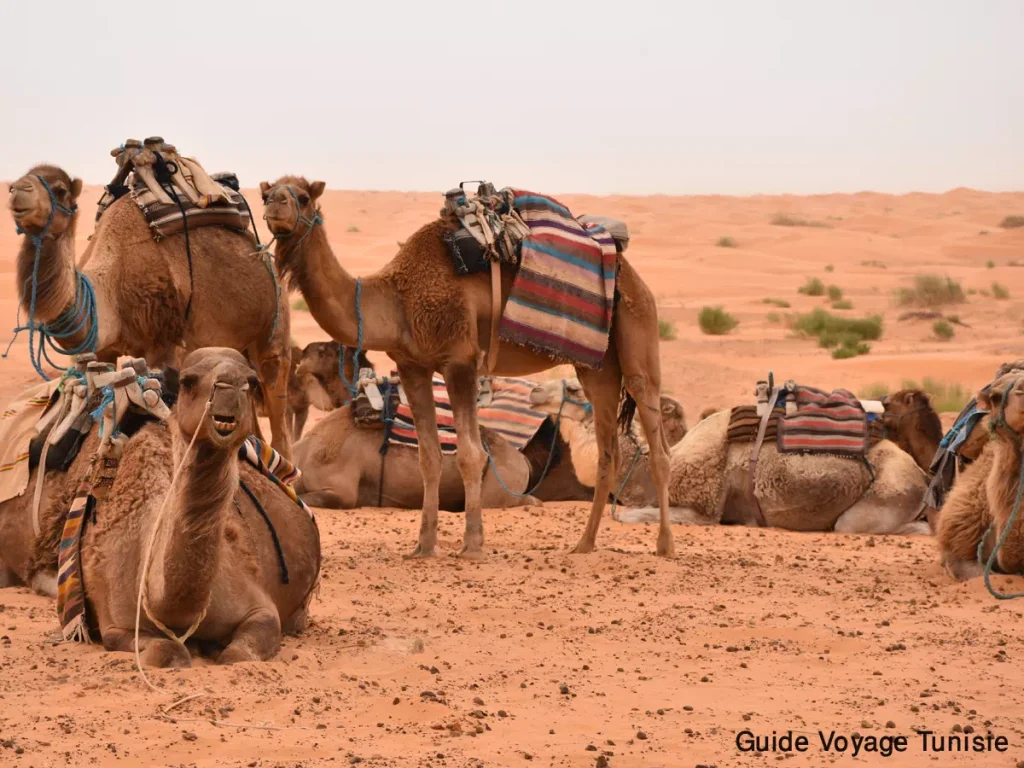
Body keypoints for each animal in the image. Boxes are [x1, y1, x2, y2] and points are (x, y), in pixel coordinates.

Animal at [8, 164, 294, 456]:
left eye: (60, 190)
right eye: (19, 181)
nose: (18, 190)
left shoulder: (167, 345)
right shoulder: (102, 348)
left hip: (273, 327)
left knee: (276, 398)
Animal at [80, 350, 319, 667]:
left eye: (253, 381)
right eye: (188, 381)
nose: (230, 385)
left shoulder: (260, 607)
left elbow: (238, 654)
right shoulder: (115, 624)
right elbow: (167, 651)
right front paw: (187, 650)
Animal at [264, 177, 675, 557]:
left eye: (303, 196)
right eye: (268, 191)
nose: (274, 205)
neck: (396, 301)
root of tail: (626, 267)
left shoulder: (460, 360)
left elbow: (470, 454)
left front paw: (472, 544)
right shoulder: (413, 366)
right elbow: (429, 457)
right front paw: (424, 546)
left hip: (639, 329)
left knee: (656, 440)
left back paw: (664, 545)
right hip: (596, 366)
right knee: (609, 451)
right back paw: (584, 545)